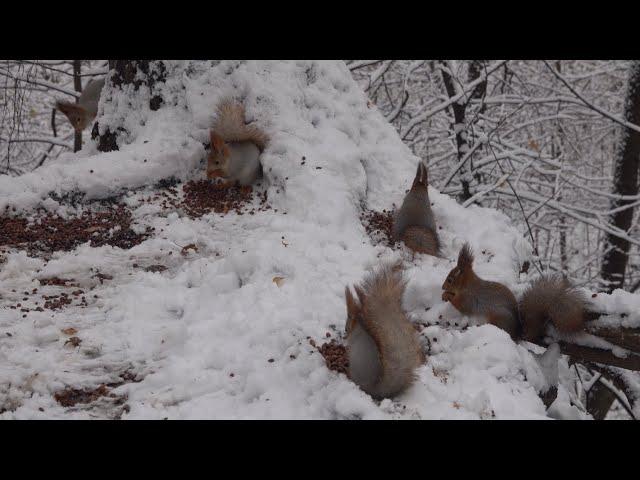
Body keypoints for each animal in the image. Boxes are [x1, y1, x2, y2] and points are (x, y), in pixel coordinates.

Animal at [442, 244, 588, 342]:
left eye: (450, 279)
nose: (443, 287)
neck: (467, 286)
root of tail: (517, 332)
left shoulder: (470, 298)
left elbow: (461, 306)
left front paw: (446, 295)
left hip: (498, 316)